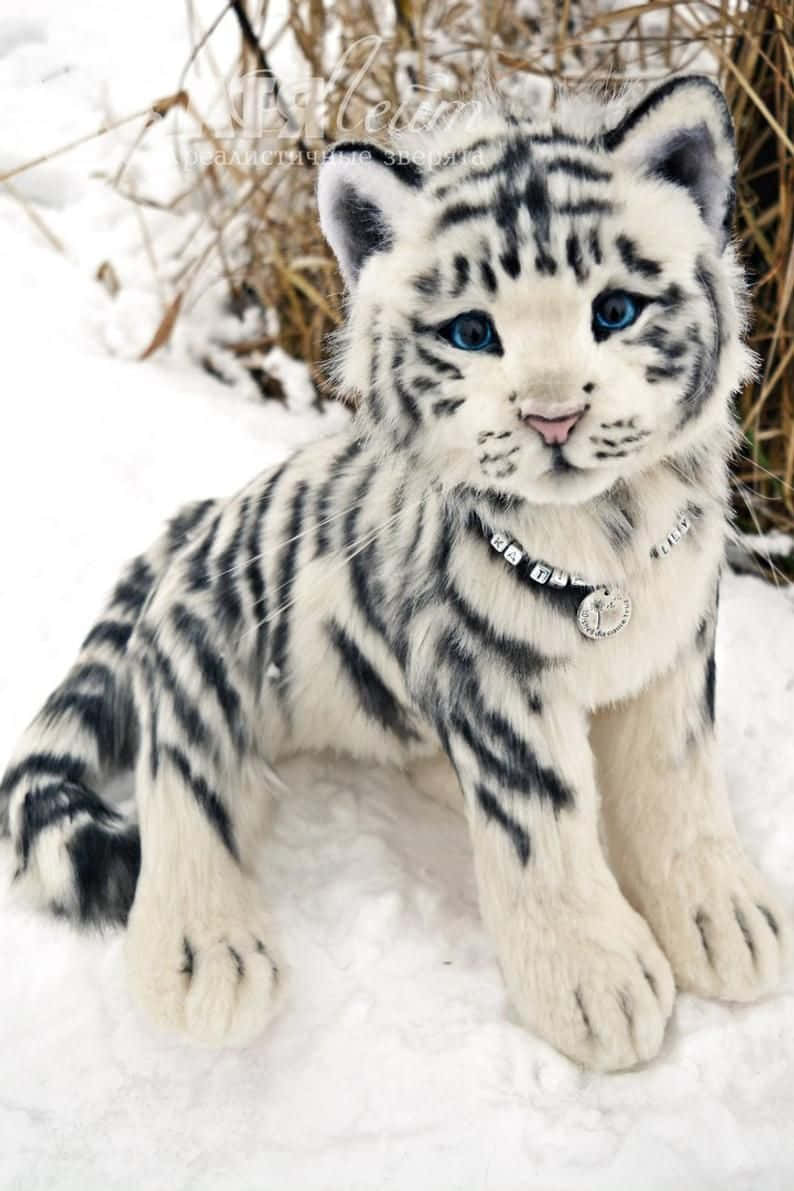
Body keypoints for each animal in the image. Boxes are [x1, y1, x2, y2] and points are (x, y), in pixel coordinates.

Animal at [1, 75, 788, 1071]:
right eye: (473, 332)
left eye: (614, 311)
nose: (554, 416)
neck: (607, 542)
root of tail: (196, 523)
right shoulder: (492, 680)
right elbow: (542, 826)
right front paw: (596, 982)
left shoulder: (675, 649)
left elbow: (678, 788)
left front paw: (725, 920)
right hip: (200, 660)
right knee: (185, 786)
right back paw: (206, 957)